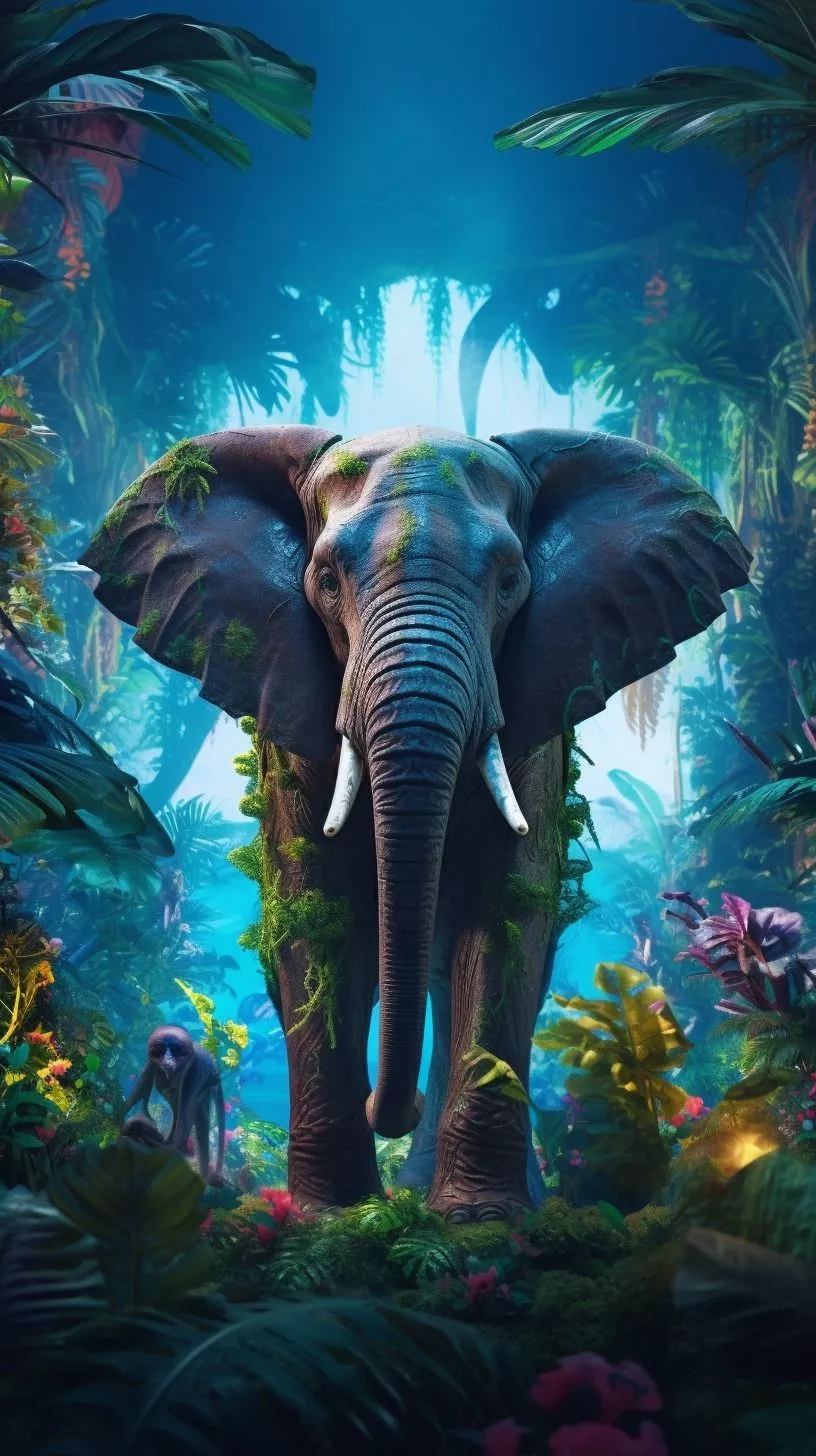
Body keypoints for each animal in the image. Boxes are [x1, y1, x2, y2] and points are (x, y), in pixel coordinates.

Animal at [81, 423, 750, 1219]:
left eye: (509, 581)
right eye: (326, 579)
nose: (390, 1106)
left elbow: (505, 919)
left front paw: (481, 1219)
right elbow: (316, 918)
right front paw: (333, 1216)